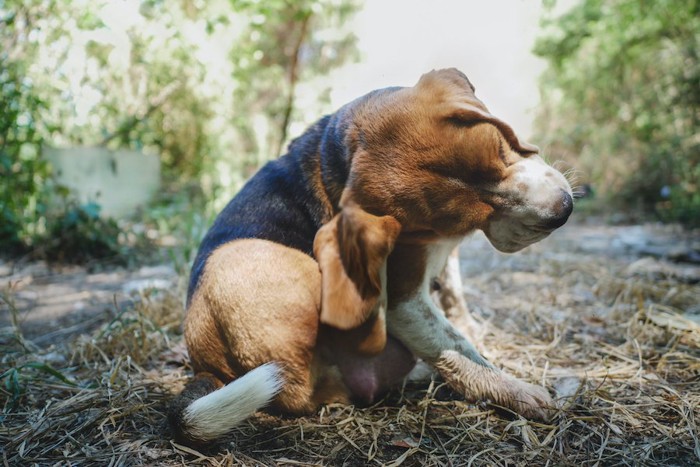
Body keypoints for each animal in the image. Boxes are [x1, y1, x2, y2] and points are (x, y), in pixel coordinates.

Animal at [170, 69, 576, 446]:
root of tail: (205, 369)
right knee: (313, 390)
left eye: (503, 150)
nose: (563, 211)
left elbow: (454, 296)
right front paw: (516, 392)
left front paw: (472, 327)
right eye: (467, 219)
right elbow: (457, 348)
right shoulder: (402, 300)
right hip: (272, 263)